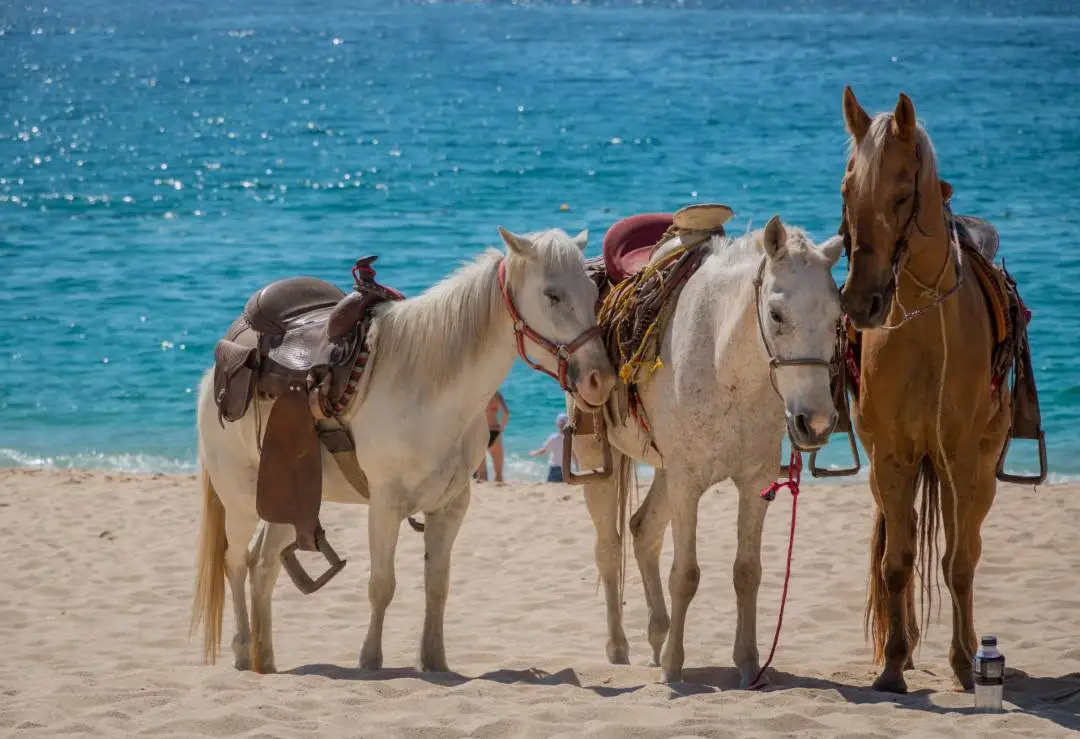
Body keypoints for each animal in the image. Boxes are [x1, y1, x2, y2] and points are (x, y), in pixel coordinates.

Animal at [191, 227, 617, 674]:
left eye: (593, 290)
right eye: (553, 295)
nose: (599, 380)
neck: (427, 389)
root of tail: (216, 371)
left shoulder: (451, 505)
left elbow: (437, 585)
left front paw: (434, 661)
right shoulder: (385, 505)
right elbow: (382, 585)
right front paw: (370, 661)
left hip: (287, 499)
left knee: (264, 566)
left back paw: (266, 660)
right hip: (240, 499)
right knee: (236, 562)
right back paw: (242, 651)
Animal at [571, 215, 844, 686]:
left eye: (837, 315)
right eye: (776, 314)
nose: (817, 422)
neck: (723, 362)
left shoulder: (754, 482)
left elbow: (747, 572)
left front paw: (749, 663)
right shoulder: (688, 484)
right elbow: (686, 575)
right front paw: (674, 668)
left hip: (665, 469)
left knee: (643, 531)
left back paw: (656, 636)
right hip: (600, 459)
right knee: (609, 547)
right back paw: (619, 648)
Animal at [838, 87, 1012, 692]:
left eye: (902, 193)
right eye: (847, 189)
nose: (860, 302)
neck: (921, 323)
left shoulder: (958, 458)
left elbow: (958, 563)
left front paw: (963, 663)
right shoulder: (891, 457)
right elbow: (896, 563)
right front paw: (893, 665)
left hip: (977, 473)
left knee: (968, 550)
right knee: (906, 546)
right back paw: (910, 646)